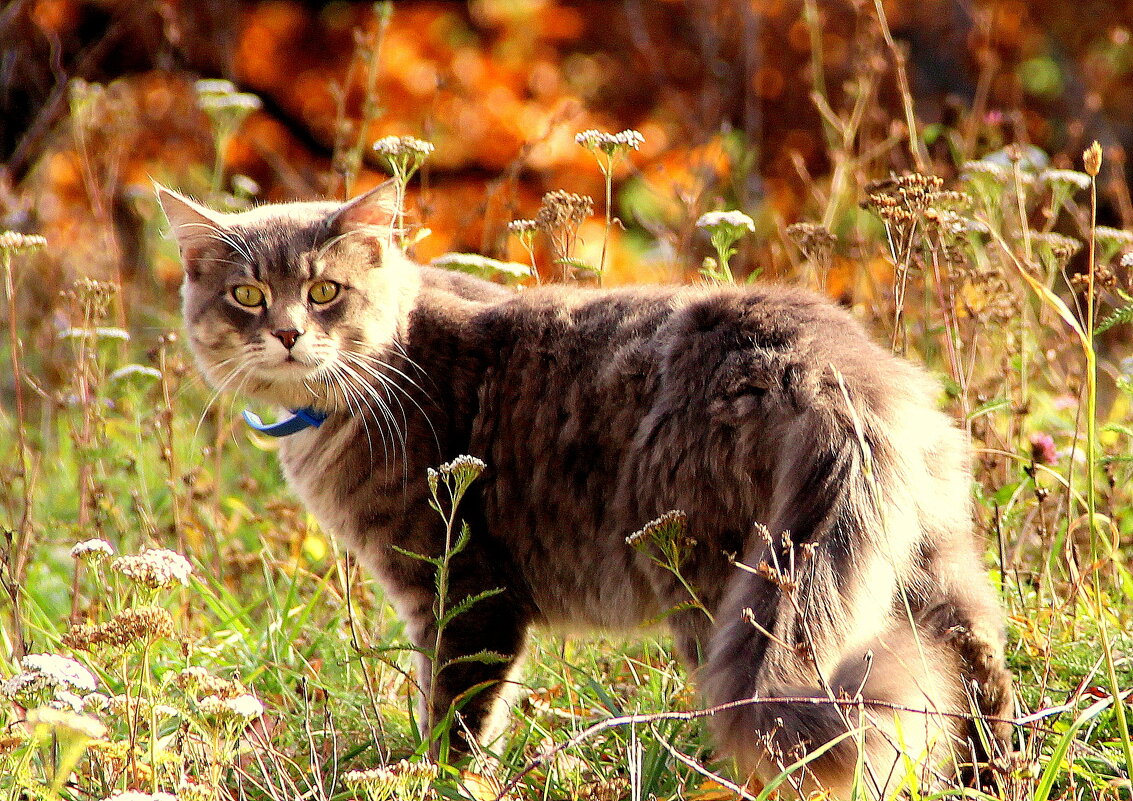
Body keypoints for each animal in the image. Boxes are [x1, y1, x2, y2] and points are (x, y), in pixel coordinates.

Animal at [157, 184, 1010, 797]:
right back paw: (989, 776)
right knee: (975, 671)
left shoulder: (463, 590)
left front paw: (437, 779)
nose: (288, 333)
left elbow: (457, 718)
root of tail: (818, 354)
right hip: (922, 559)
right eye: (246, 296)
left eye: (325, 292)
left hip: (717, 584)